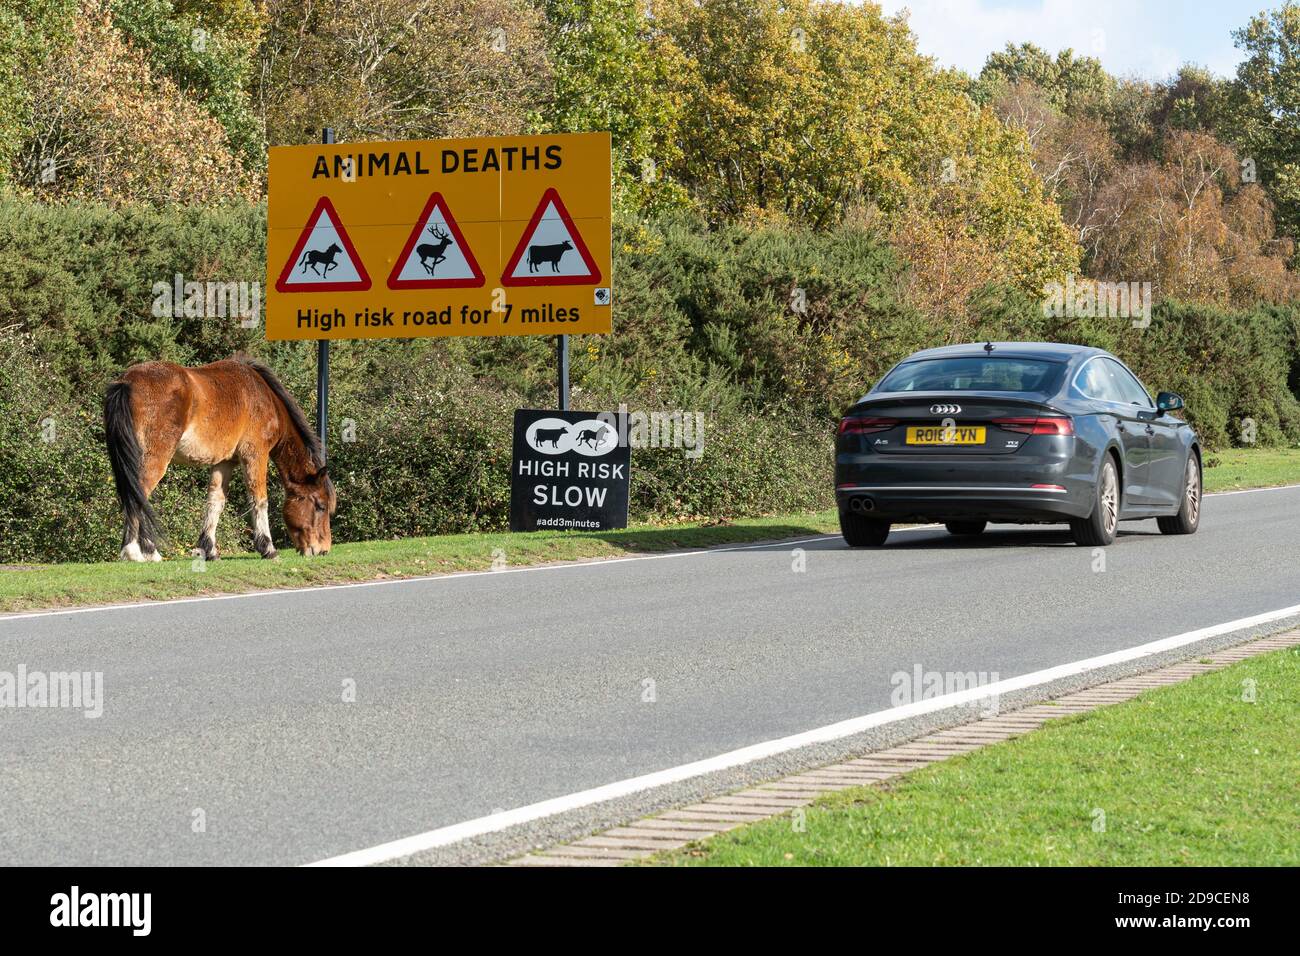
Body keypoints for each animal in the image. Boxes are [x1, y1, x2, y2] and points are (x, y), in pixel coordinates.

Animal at [104, 361, 335, 564]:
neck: (263, 396)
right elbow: (259, 500)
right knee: (138, 495)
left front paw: (208, 550)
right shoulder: (255, 455)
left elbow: (215, 502)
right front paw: (268, 549)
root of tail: (127, 381)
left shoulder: (224, 463)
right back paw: (139, 552)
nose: (323, 550)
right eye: (320, 506)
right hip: (155, 459)